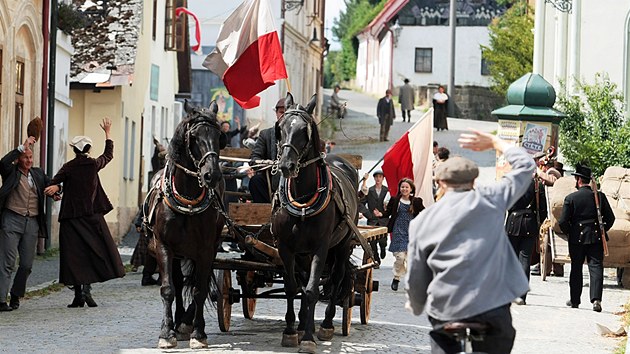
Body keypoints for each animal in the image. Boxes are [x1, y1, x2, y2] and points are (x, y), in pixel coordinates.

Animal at [144, 100, 228, 348]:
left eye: (219, 136)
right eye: (195, 136)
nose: (212, 175)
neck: (187, 199)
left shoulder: (206, 249)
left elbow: (200, 290)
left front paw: (198, 333)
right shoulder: (164, 246)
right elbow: (168, 289)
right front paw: (166, 333)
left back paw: (186, 321)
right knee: (180, 284)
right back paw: (179, 323)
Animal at [272, 92, 362, 352]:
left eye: (305, 130)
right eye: (280, 128)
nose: (287, 165)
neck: (303, 198)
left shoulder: (320, 248)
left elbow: (312, 290)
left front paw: (309, 338)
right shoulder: (286, 247)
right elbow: (293, 287)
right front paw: (292, 331)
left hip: (342, 246)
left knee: (337, 277)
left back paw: (326, 325)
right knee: (303, 283)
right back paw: (302, 324)